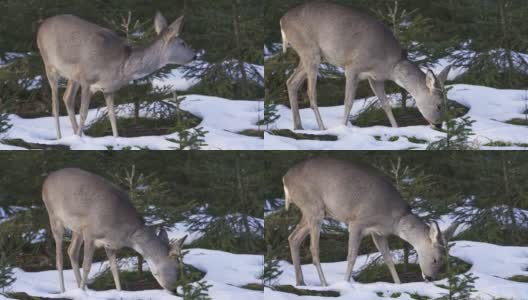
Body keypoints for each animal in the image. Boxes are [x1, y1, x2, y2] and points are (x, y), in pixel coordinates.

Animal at [36, 11, 196, 138]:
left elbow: (112, 116)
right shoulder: (87, 78)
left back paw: (77, 134)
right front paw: (79, 141)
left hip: (72, 76)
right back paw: (60, 137)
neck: (121, 66)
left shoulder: (108, 88)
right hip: (49, 65)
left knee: (67, 97)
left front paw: (115, 139)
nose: (194, 56)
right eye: (183, 43)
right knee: (55, 105)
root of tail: (41, 27)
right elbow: (83, 113)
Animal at [42, 169, 188, 292]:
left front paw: (119, 292)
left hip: (77, 228)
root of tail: (45, 181)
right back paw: (65, 290)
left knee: (71, 251)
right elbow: (87, 266)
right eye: (177, 266)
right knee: (59, 258)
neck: (124, 234)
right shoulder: (90, 233)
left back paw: (80, 287)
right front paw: (82, 292)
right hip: (54, 217)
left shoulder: (109, 244)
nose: (174, 290)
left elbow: (115, 269)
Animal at [280, 1, 450, 130]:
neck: (389, 65)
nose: (439, 125)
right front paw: (343, 127)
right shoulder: (352, 67)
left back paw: (298, 126)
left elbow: (385, 104)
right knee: (311, 92)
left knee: (291, 82)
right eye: (439, 105)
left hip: (314, 56)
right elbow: (348, 102)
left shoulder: (375, 79)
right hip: (310, 51)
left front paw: (396, 128)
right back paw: (321, 128)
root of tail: (282, 21)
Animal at [282, 157, 460, 286]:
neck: (394, 219)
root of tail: (285, 179)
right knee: (313, 247)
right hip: (314, 208)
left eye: (444, 260)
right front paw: (346, 283)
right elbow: (352, 256)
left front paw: (398, 284)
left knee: (293, 238)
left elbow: (388, 258)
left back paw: (300, 282)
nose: (430, 278)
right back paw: (324, 284)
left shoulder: (378, 233)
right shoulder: (357, 222)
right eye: (436, 259)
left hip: (313, 212)